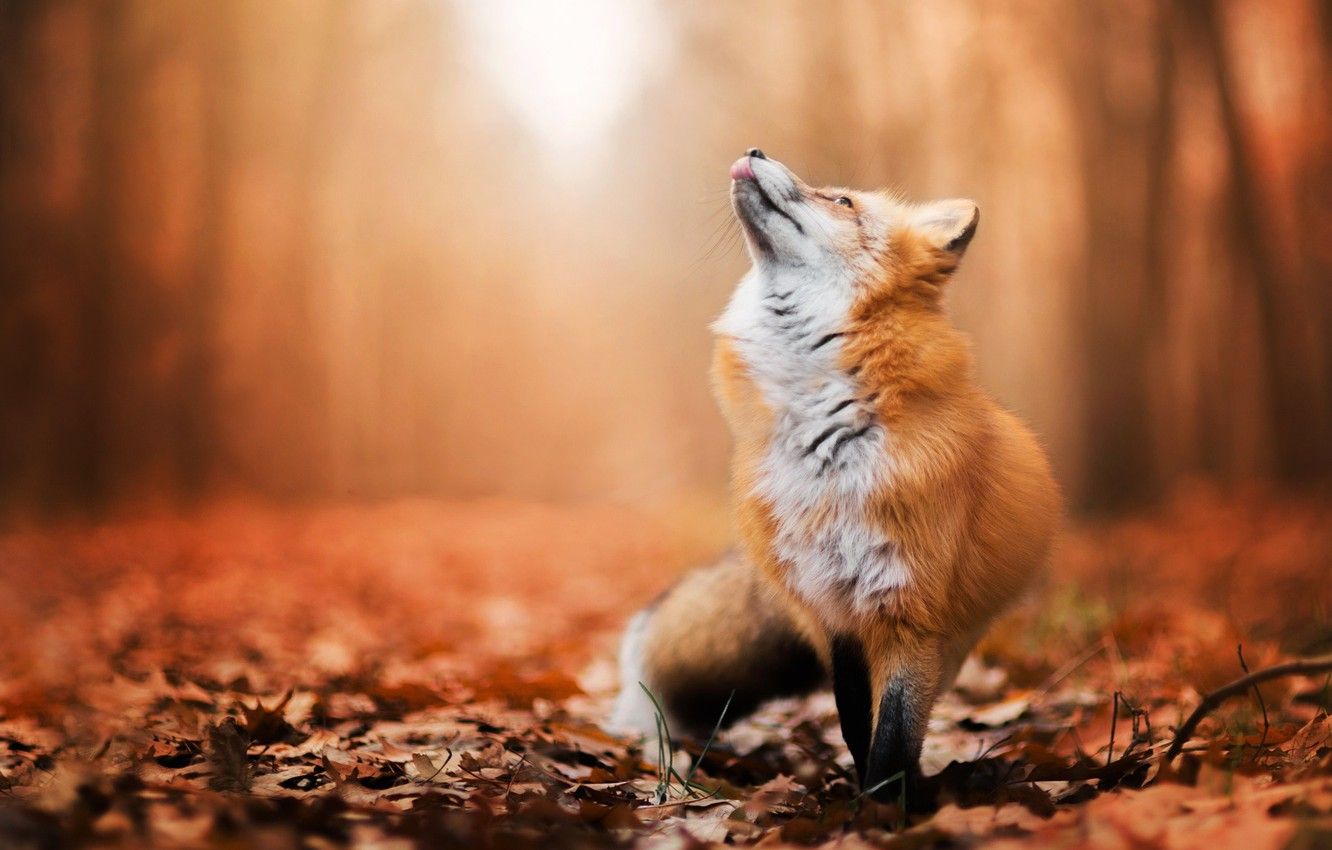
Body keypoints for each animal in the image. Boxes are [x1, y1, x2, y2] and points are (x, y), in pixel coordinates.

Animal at [610, 149, 1060, 804]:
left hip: (953, 636)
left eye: (842, 201)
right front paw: (866, 801)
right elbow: (855, 722)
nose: (755, 152)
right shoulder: (831, 609)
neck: (825, 448)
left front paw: (884, 811)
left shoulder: (909, 610)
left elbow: (893, 735)